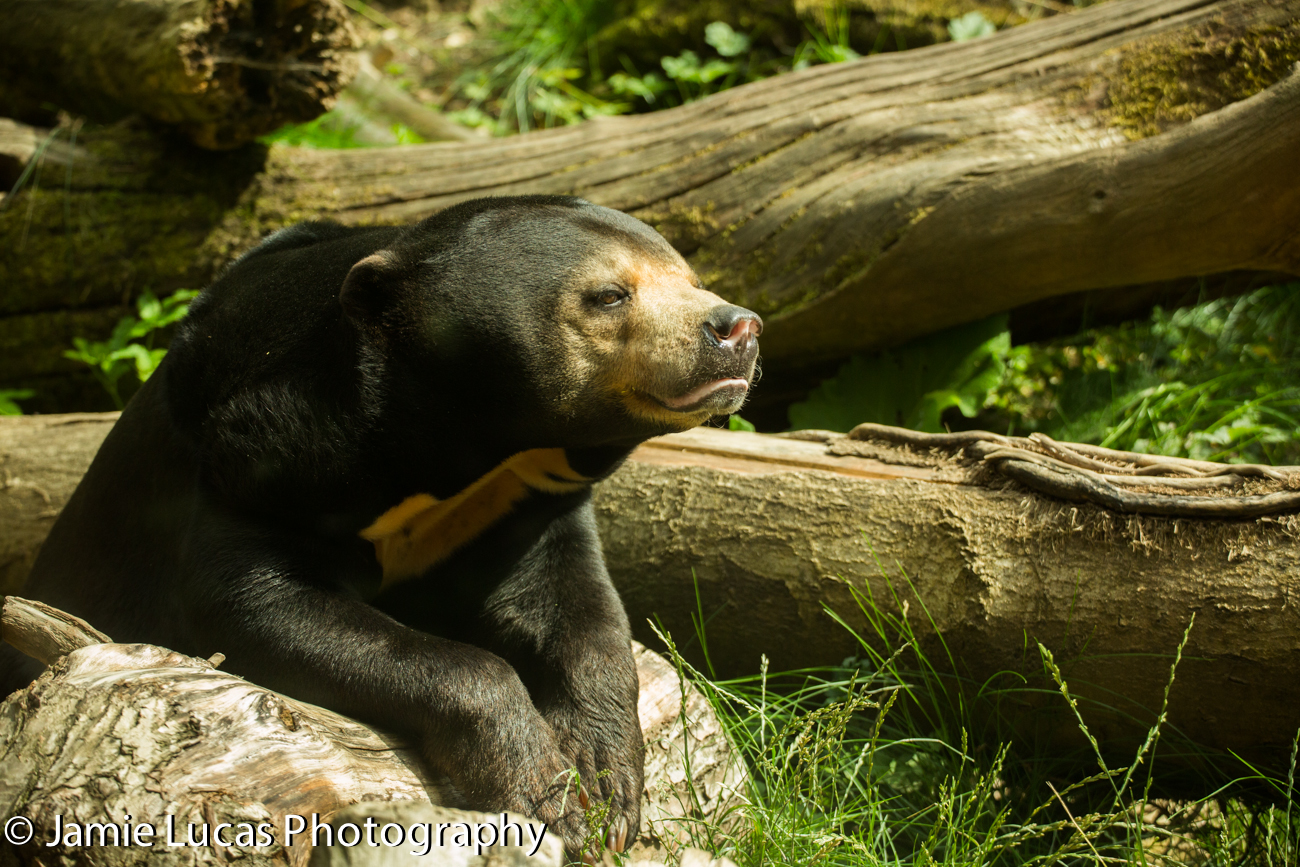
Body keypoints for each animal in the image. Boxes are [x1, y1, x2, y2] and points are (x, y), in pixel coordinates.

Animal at [1, 196, 762, 859]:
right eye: (608, 295)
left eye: (691, 280)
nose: (737, 327)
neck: (465, 449)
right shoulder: (254, 471)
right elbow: (258, 604)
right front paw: (544, 791)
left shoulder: (528, 502)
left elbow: (577, 611)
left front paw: (605, 782)